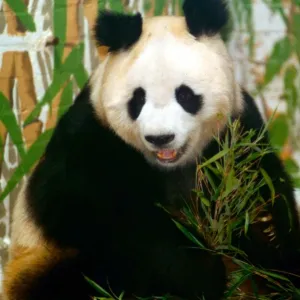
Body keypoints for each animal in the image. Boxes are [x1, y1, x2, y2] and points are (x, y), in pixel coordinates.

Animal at [2, 0, 300, 298]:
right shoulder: (89, 141)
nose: (161, 137)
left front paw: (265, 235)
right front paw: (201, 270)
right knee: (70, 277)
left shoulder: (237, 135)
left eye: (185, 95)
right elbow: (87, 213)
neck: (172, 166)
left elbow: (264, 199)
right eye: (138, 99)